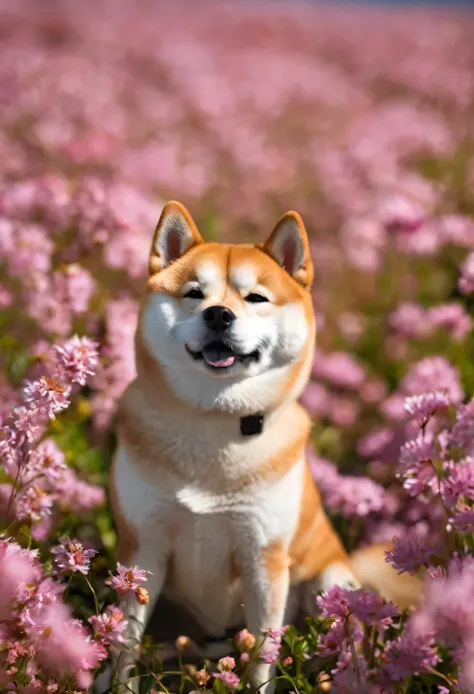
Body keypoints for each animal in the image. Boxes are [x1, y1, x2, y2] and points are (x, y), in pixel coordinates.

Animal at [103, 204, 418, 694]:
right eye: (194, 293)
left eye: (256, 298)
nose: (218, 315)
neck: (212, 423)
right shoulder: (143, 546)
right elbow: (126, 644)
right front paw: (118, 682)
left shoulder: (263, 557)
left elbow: (262, 655)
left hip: (329, 581)